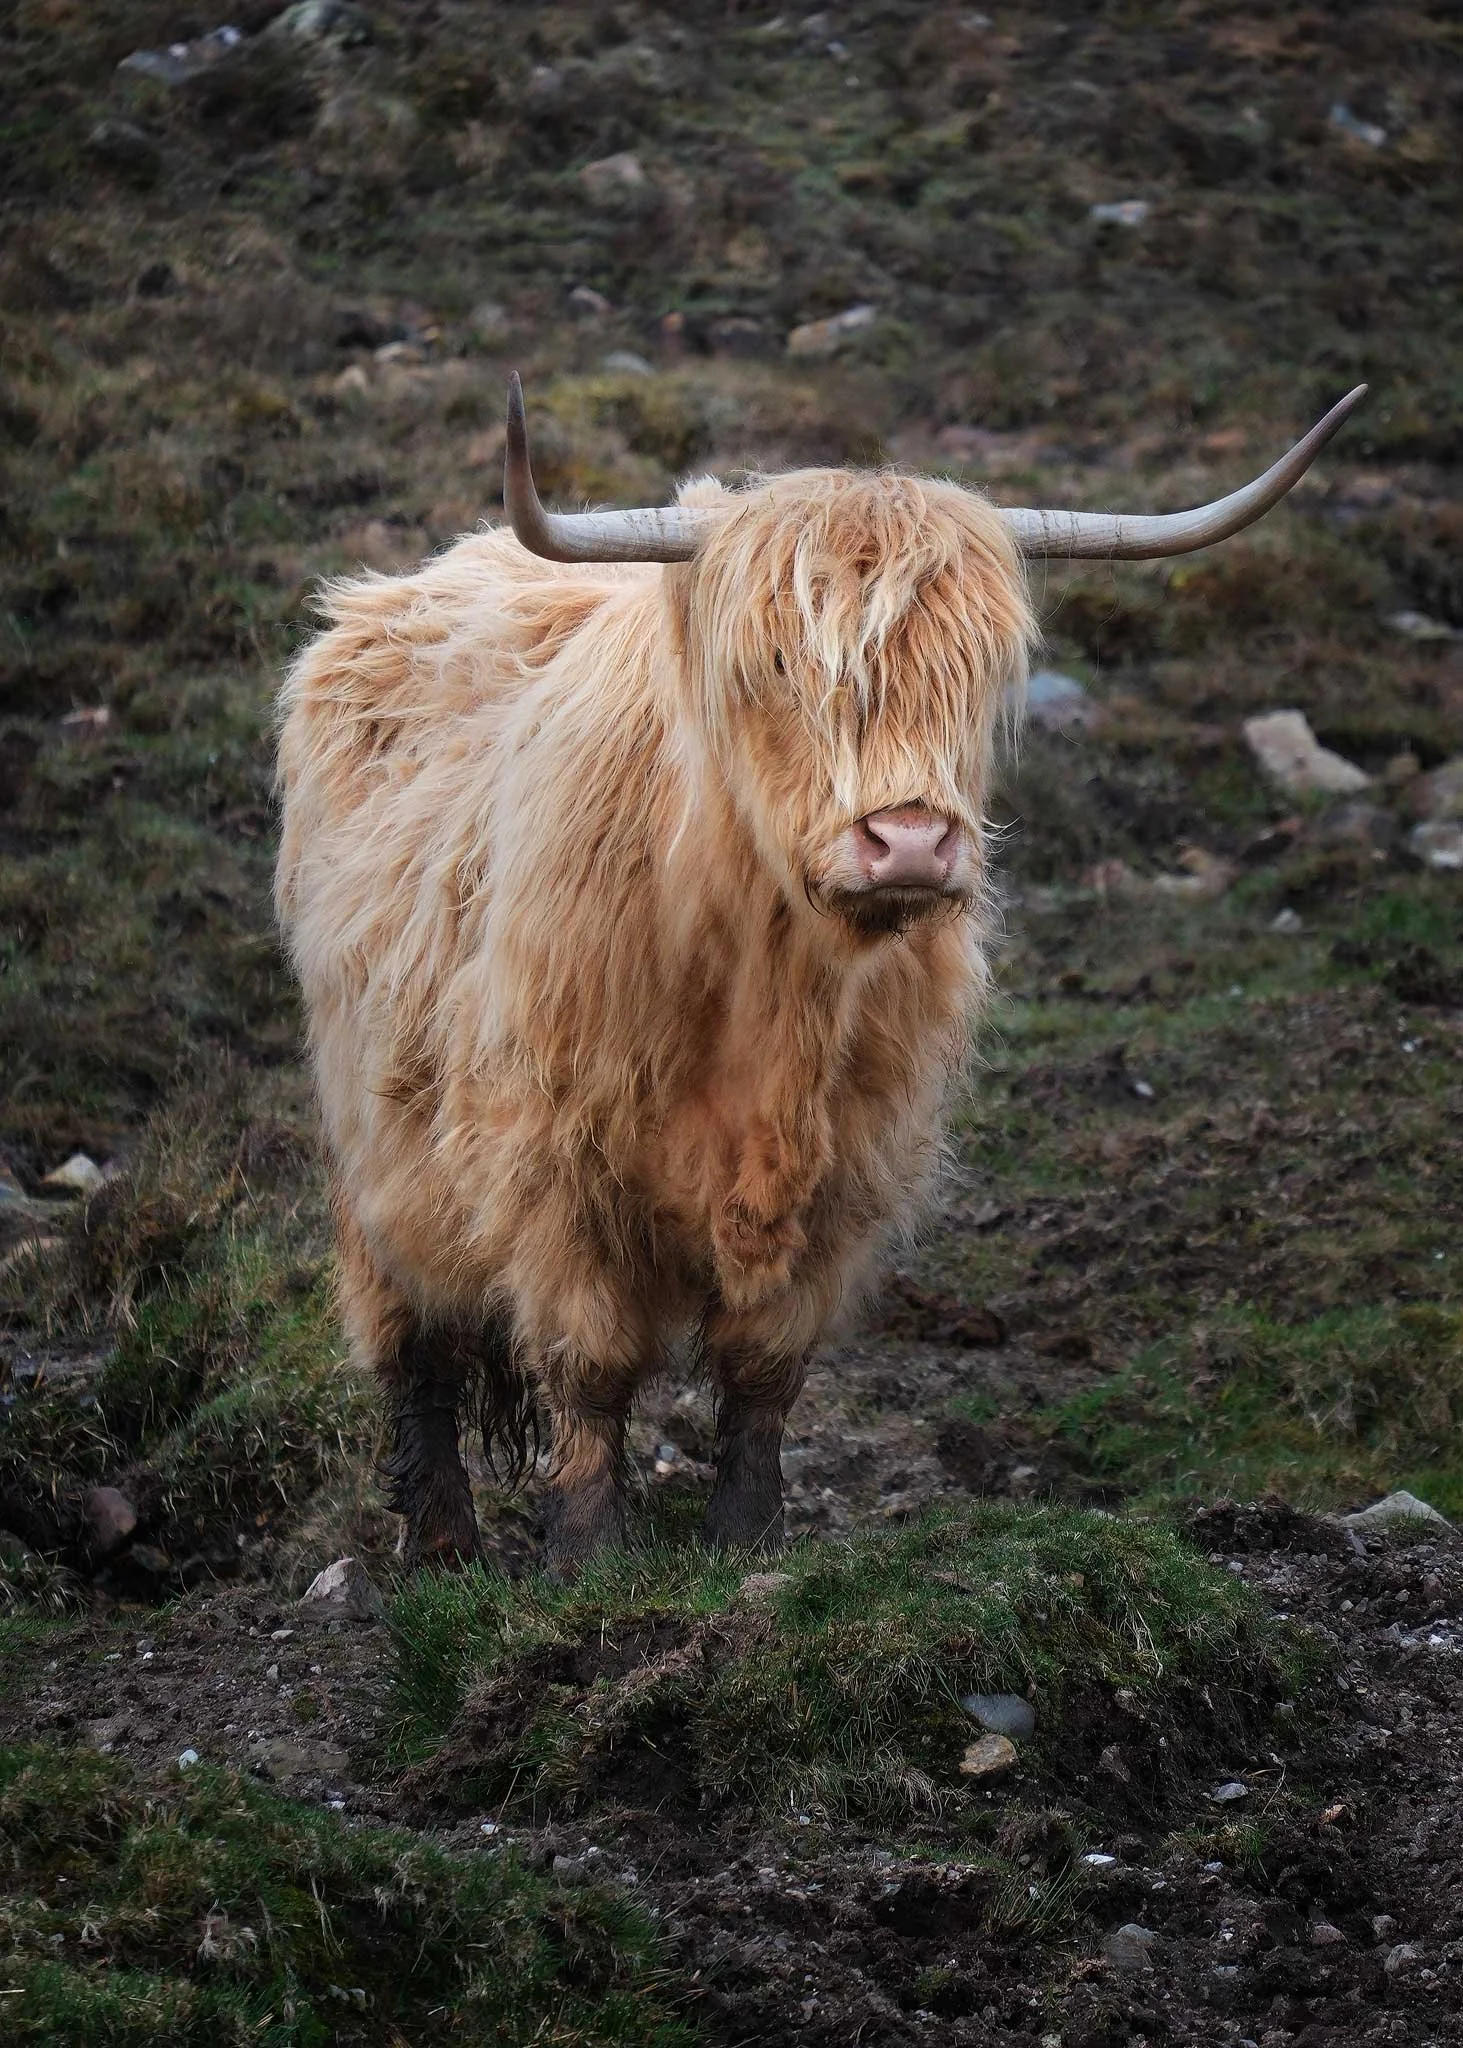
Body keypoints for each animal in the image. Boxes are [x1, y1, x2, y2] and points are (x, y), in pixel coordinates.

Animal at [275, 378, 1364, 1572]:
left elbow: (764, 1368)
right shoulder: (551, 1155)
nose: (909, 840)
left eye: (974, 672)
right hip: (372, 1143)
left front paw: (748, 1537)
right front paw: (589, 1553)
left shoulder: (848, 1164)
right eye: (777, 667)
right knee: (410, 1346)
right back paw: (441, 1546)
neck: (763, 987)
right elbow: (588, 1360)